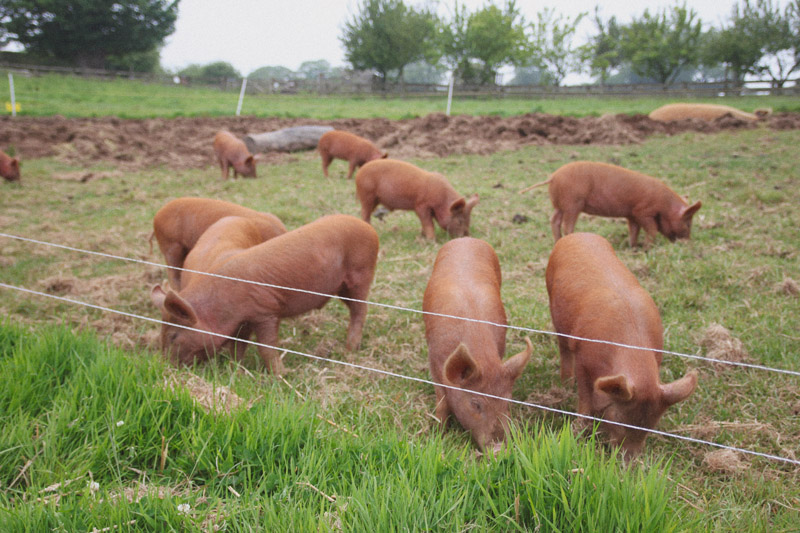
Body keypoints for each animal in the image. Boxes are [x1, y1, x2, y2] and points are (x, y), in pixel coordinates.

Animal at [151, 214, 382, 372]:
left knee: (360, 310)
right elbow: (238, 346)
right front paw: (236, 371)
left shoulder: (265, 312)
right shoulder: (242, 322)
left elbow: (267, 347)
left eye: (173, 336)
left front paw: (282, 375)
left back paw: (350, 350)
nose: (164, 367)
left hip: (360, 276)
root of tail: (369, 228)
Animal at [424, 237, 532, 448]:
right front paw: (438, 435)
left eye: (508, 401)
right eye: (475, 404)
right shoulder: (434, 362)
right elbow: (441, 403)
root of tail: (466, 239)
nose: (499, 449)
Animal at [520, 160, 700, 247]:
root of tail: (554, 176)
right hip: (573, 202)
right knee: (567, 225)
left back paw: (557, 241)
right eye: (688, 223)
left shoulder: (631, 214)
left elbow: (634, 230)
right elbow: (652, 229)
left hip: (560, 205)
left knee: (554, 220)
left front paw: (634, 247)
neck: (664, 206)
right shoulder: (643, 211)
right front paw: (647, 248)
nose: (688, 242)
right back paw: (571, 238)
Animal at [548, 233, 696, 458]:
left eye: (651, 425)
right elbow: (585, 397)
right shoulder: (583, 357)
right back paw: (565, 383)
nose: (629, 461)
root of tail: (579, 234)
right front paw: (578, 429)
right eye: (619, 418)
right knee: (563, 348)